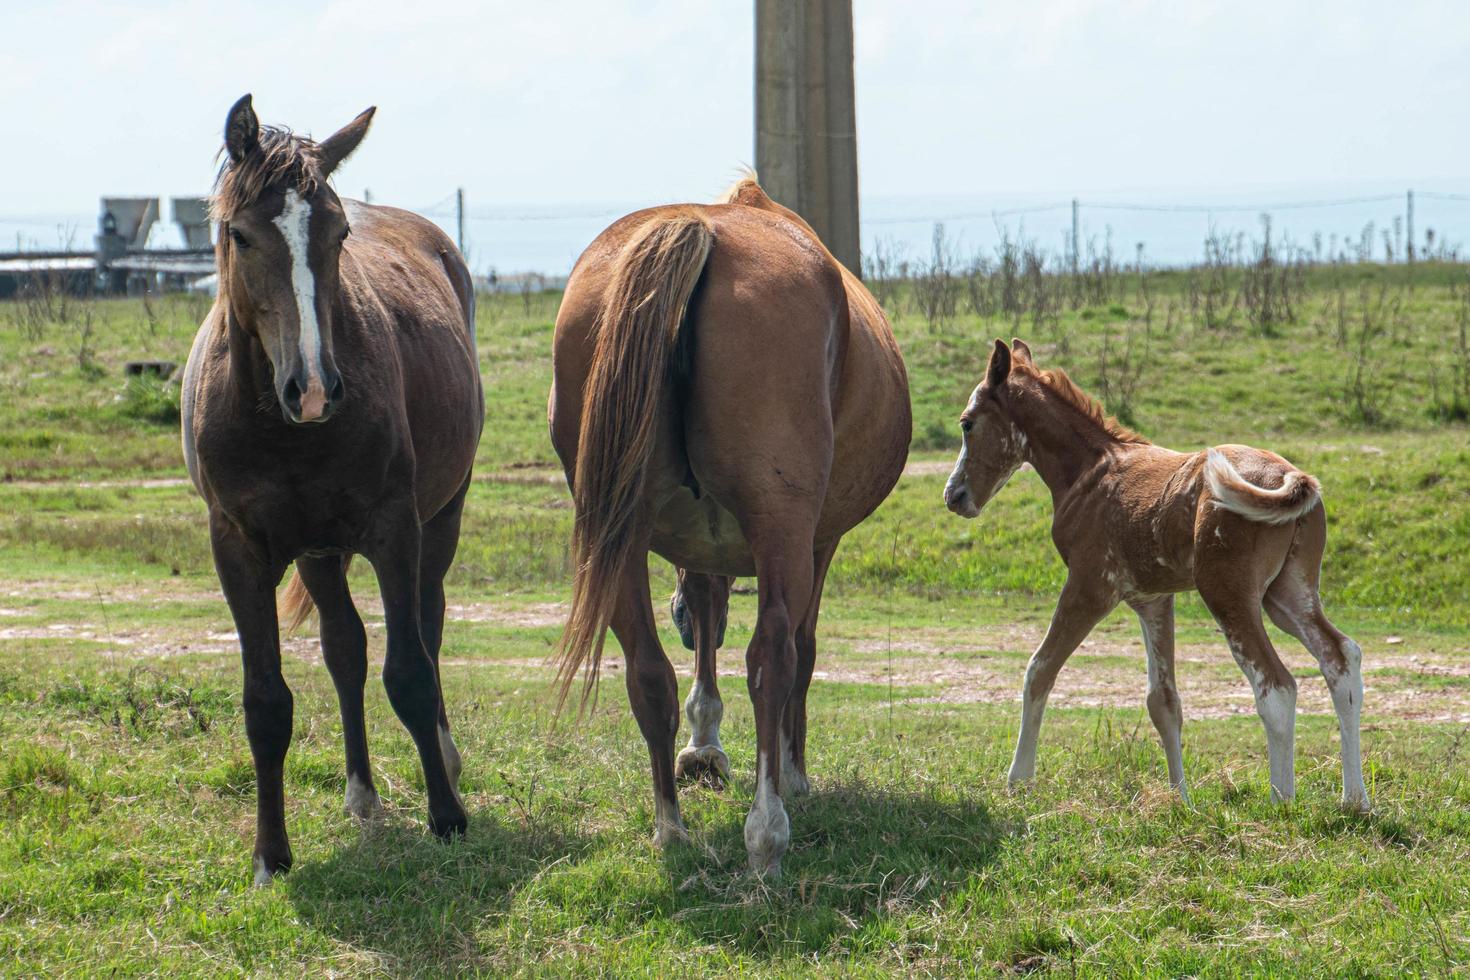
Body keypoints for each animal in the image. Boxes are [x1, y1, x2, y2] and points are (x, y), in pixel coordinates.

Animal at [180, 95, 482, 887]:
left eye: (340, 233)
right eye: (239, 234)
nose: (314, 389)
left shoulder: (394, 528)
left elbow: (409, 672)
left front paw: (448, 819)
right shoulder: (237, 549)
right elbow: (266, 701)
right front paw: (270, 855)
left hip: (440, 520)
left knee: (427, 626)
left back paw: (441, 763)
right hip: (318, 551)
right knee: (345, 648)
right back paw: (362, 794)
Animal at [546, 179, 905, 875]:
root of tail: (699, 229)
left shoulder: (699, 545)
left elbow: (706, 611)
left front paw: (703, 743)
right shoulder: (817, 543)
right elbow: (803, 650)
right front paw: (792, 771)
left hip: (619, 536)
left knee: (647, 670)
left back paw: (670, 827)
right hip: (783, 528)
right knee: (773, 657)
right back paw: (768, 830)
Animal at [940, 339, 1364, 811]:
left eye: (967, 423)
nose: (954, 495)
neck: (1090, 472)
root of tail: (1292, 475)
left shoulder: (1091, 586)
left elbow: (1040, 669)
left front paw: (1019, 781)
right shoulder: (1153, 599)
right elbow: (1163, 701)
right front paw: (1181, 799)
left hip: (1227, 594)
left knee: (1276, 684)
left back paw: (1281, 801)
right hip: (1287, 596)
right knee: (1340, 658)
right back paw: (1355, 800)